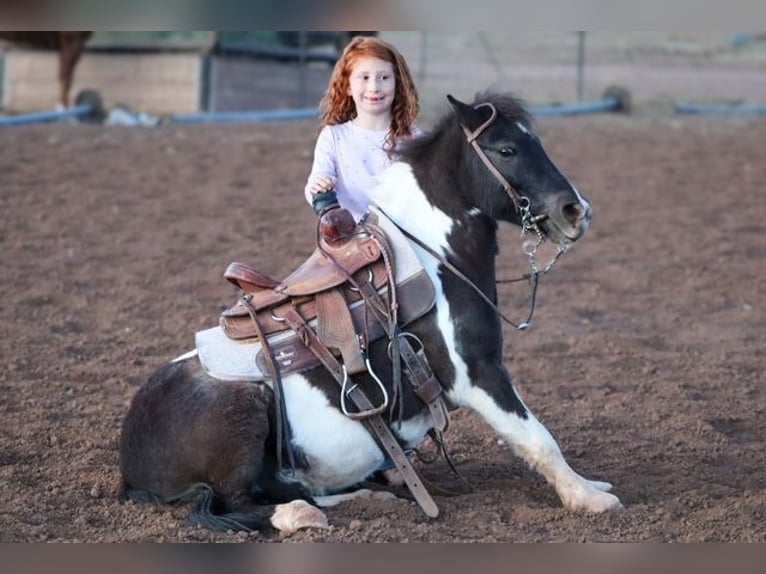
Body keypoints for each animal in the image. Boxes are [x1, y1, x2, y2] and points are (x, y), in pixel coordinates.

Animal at [118, 90, 623, 534]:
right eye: (507, 149)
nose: (576, 210)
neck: (432, 260)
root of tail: (129, 463)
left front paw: (592, 486)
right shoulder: (477, 374)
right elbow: (536, 437)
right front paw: (588, 498)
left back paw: (366, 494)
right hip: (242, 416)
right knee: (241, 501)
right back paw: (304, 514)